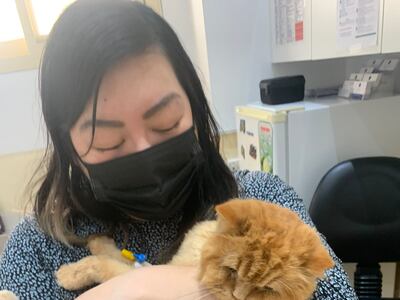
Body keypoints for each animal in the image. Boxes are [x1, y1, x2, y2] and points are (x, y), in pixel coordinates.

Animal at [0, 198, 334, 298]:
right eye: (231, 270)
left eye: (266, 291)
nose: (237, 297)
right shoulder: (153, 264)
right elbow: (113, 253)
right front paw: (98, 241)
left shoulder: (146, 274)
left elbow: (104, 265)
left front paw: (69, 274)